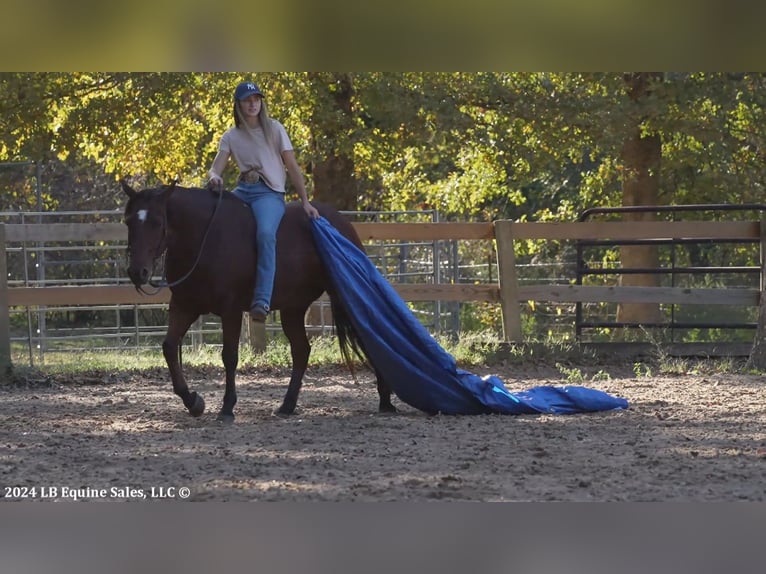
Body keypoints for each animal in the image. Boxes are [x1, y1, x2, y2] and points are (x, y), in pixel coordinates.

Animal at [121, 182, 396, 426]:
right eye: (129, 222)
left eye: (157, 222)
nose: (137, 272)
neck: (205, 239)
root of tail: (340, 222)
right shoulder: (184, 306)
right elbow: (169, 347)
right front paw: (194, 402)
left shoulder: (230, 310)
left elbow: (229, 356)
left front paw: (227, 408)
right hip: (293, 309)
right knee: (301, 350)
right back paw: (287, 406)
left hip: (342, 295)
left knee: (367, 335)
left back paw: (385, 400)